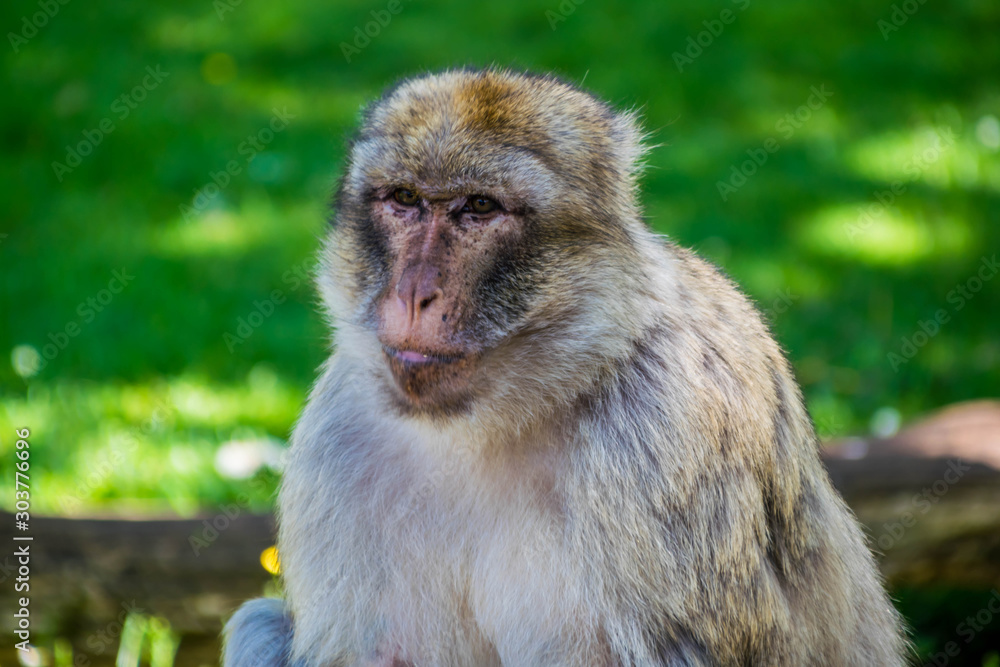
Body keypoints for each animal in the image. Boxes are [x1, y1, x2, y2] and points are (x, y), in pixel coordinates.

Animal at [223, 68, 908, 666]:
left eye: (479, 208)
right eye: (405, 200)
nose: (415, 293)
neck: (495, 418)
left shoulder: (665, 431)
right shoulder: (340, 430)